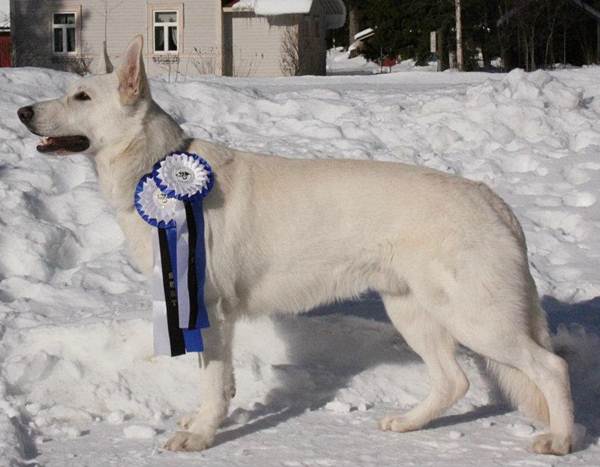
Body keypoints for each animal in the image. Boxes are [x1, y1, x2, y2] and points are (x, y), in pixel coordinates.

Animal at [16, 36, 576, 458]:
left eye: (82, 98)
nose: (22, 111)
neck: (158, 169)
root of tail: (490, 197)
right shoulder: (212, 318)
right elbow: (218, 381)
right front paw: (205, 421)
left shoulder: (209, 310)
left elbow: (211, 384)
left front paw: (201, 436)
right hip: (413, 313)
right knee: (454, 382)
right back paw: (410, 424)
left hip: (476, 320)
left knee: (551, 368)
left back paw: (562, 440)